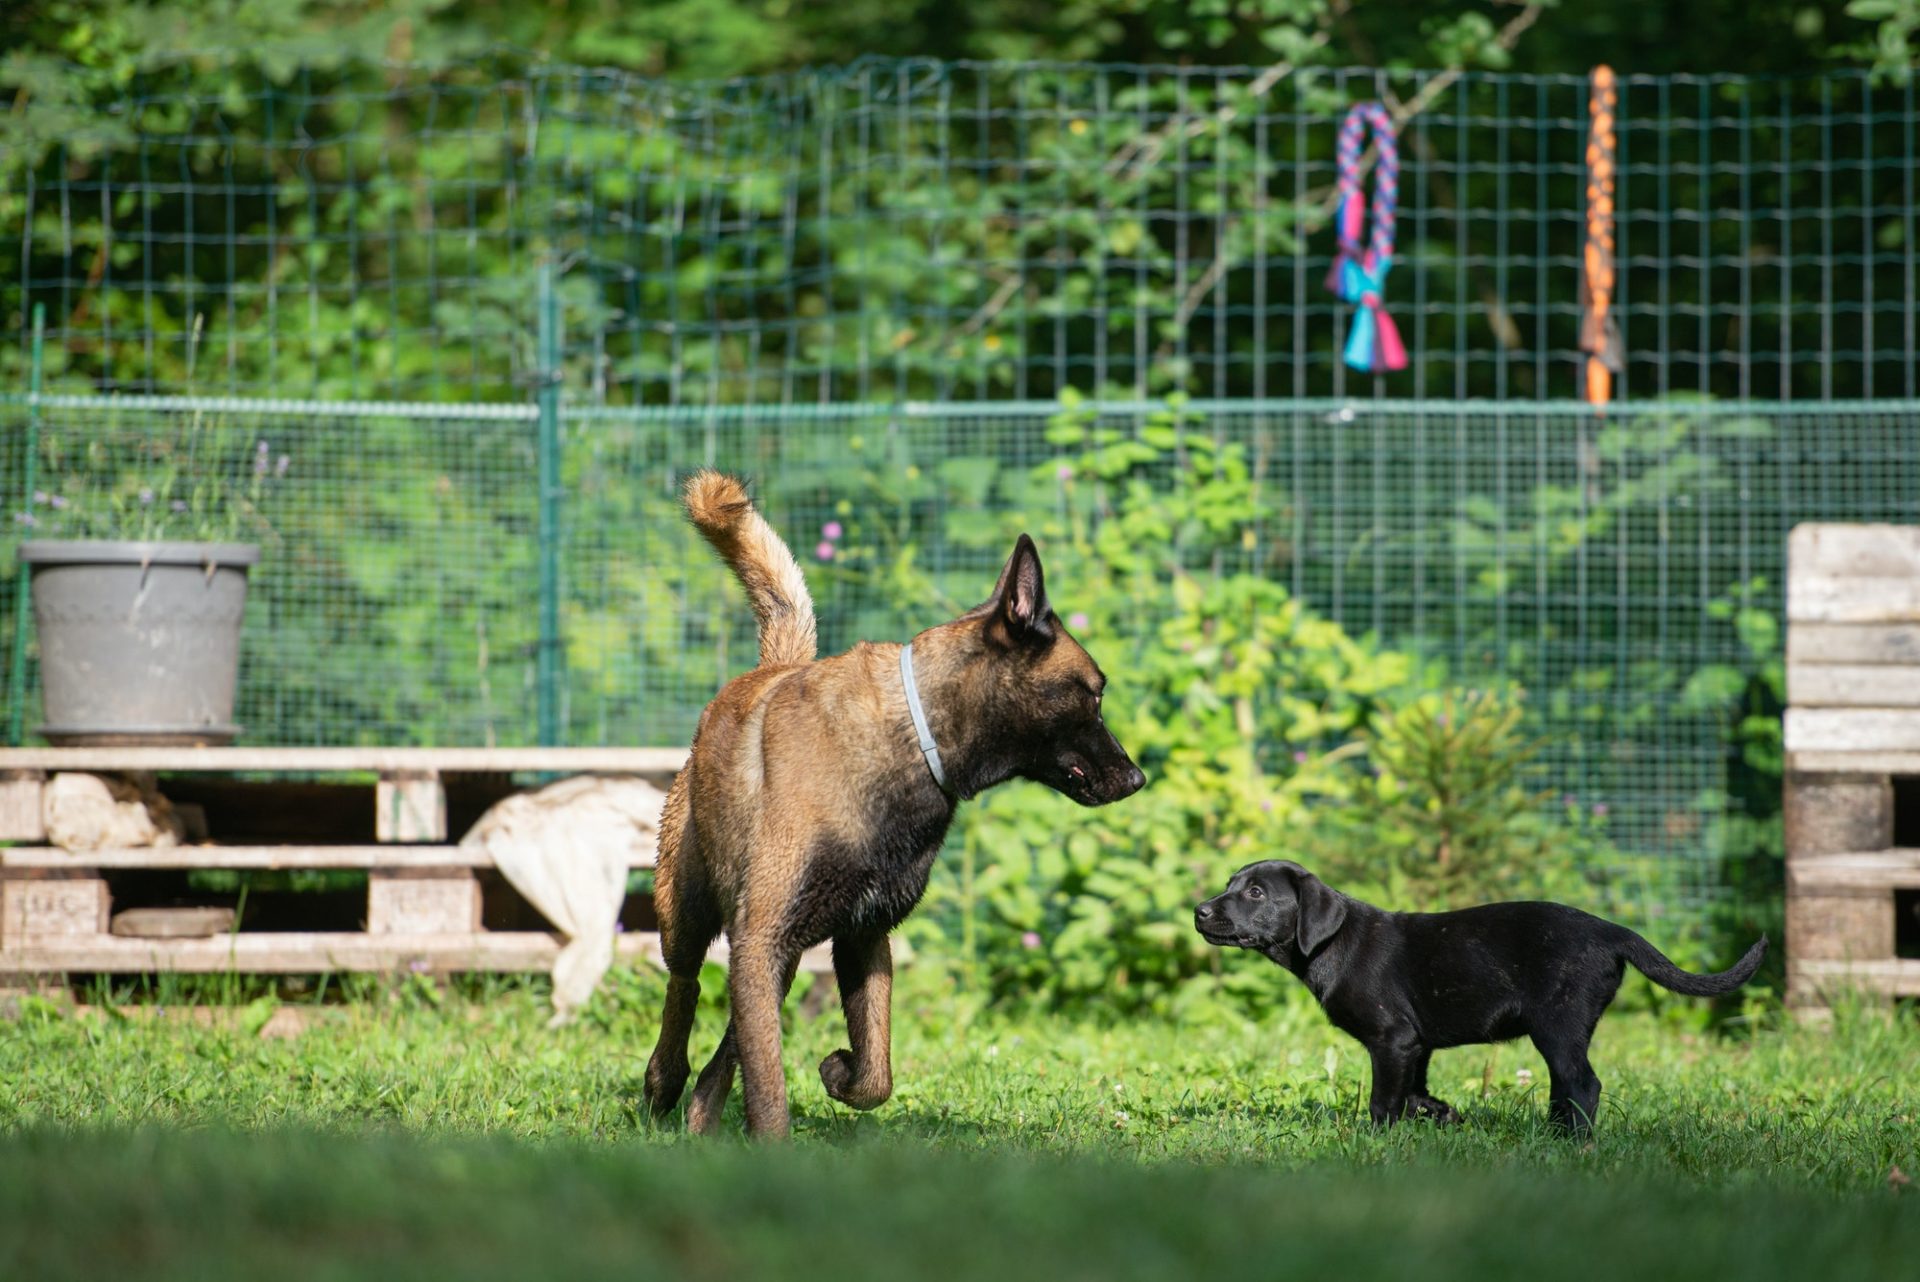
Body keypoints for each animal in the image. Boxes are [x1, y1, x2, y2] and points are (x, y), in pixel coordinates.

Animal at [645, 475, 1136, 1136]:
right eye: (1093, 694)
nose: (1136, 777)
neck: (913, 731)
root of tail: (769, 667)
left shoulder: (861, 936)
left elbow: (874, 1073)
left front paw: (838, 1071)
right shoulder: (767, 935)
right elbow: (769, 1088)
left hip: (782, 951)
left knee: (735, 1034)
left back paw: (701, 1111)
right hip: (690, 914)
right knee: (686, 985)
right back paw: (664, 1082)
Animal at [1198, 859, 1766, 1128]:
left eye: (1256, 893)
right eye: (1230, 884)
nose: (1199, 910)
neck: (1330, 944)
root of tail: (1612, 931)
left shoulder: (1391, 1039)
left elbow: (1385, 1101)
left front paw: (1374, 1142)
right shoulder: (1416, 1044)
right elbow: (1415, 1093)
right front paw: (1443, 1116)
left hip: (1558, 1024)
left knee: (1582, 1086)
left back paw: (1571, 1144)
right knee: (1567, 1087)